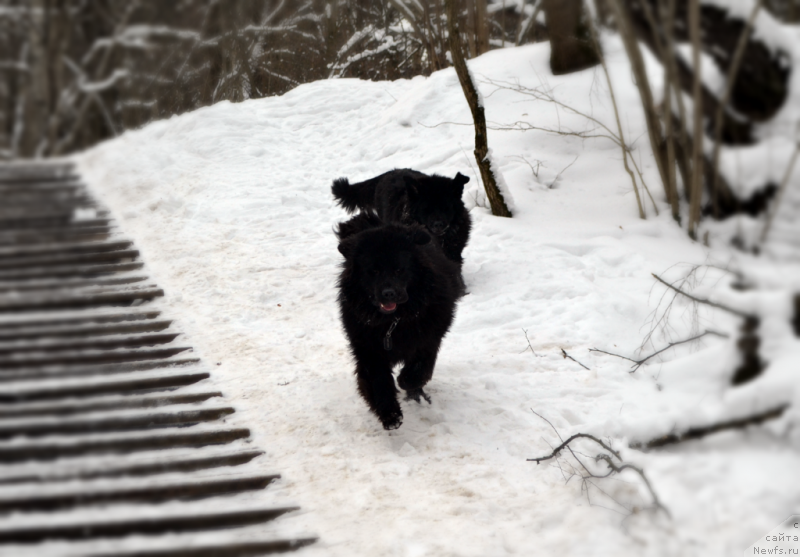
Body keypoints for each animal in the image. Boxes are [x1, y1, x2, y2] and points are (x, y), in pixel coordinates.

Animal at [336, 211, 462, 428]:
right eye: (373, 271)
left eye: (399, 269)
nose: (389, 293)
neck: (393, 322)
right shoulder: (368, 349)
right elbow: (378, 381)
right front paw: (389, 413)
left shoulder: (429, 339)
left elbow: (419, 369)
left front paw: (406, 382)